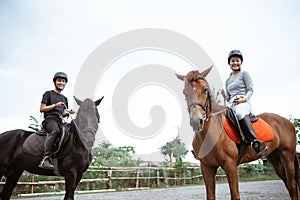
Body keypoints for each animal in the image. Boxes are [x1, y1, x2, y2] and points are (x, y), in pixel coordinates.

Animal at [176, 66, 300, 199]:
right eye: (184, 92)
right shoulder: (207, 167)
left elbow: (235, 195)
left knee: (292, 185)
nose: (196, 121)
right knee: (288, 184)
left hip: (287, 155)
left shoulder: (230, 165)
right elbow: (210, 195)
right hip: (274, 158)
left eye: (205, 89)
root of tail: (288, 122)